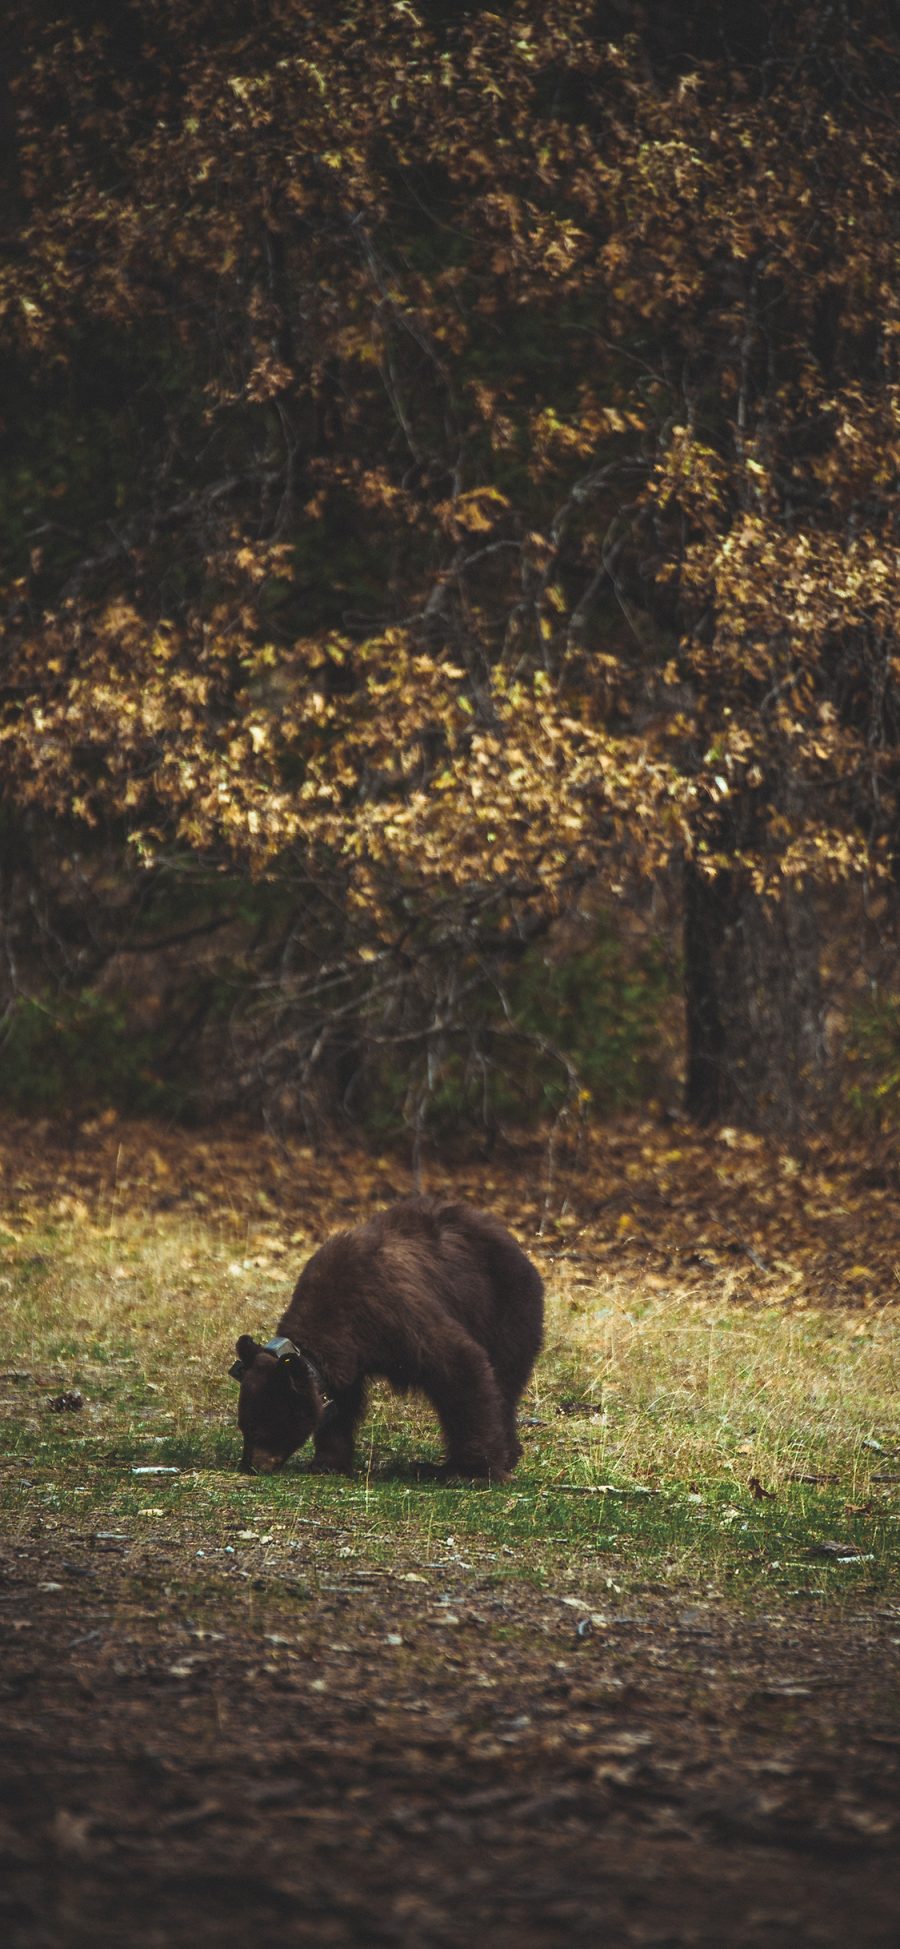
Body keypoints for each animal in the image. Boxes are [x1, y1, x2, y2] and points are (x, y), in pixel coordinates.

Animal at [229, 1192, 541, 1481]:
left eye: (259, 1427)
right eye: (243, 1425)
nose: (250, 1465)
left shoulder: (397, 1317)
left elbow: (460, 1364)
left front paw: (474, 1470)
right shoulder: (346, 1357)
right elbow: (342, 1404)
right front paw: (328, 1461)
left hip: (506, 1310)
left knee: (504, 1381)